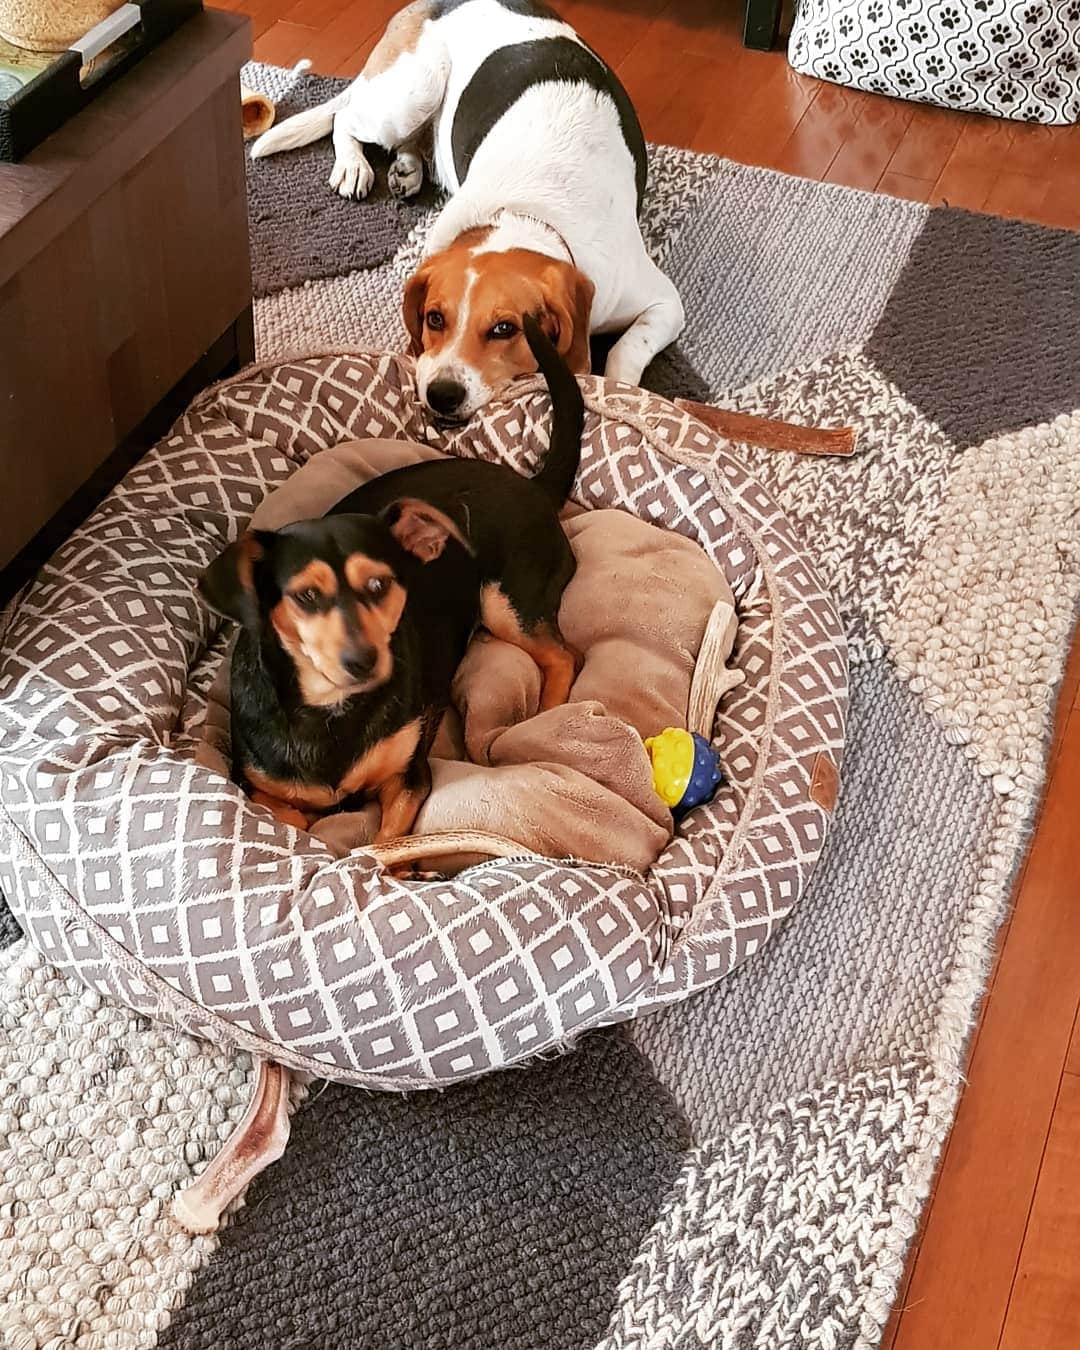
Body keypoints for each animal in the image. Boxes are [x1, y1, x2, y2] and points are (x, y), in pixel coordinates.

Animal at [199, 317, 583, 841]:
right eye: (306, 596)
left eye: (379, 585)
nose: (363, 661)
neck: (332, 708)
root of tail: (532, 485)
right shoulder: (256, 788)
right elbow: (294, 815)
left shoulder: (408, 779)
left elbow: (380, 847)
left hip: (505, 603)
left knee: (564, 656)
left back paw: (547, 715)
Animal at [250, 0, 684, 420]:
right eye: (434, 318)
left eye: (505, 329)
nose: (441, 394)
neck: (527, 216)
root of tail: (430, 4)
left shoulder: (666, 303)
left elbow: (626, 348)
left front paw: (623, 391)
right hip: (408, 99)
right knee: (347, 118)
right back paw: (353, 166)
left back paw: (406, 167)